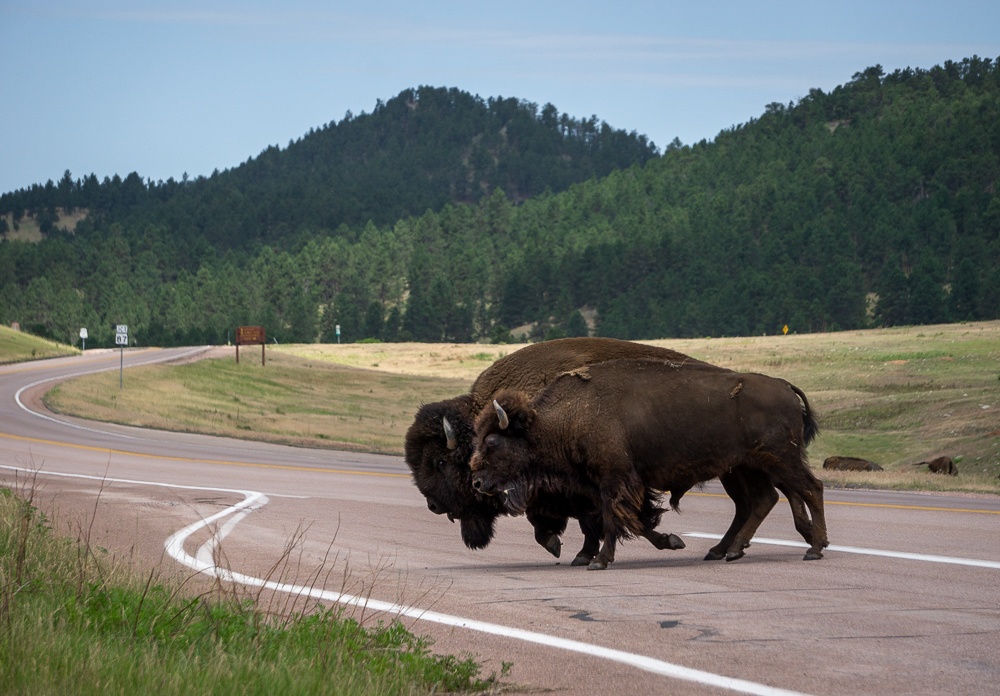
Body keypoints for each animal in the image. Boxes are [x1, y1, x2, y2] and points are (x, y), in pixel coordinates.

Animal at [402, 338, 816, 564]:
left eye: (440, 460)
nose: (433, 505)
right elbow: (598, 520)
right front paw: (577, 552)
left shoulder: (591, 486)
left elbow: (606, 519)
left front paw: (576, 550)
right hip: (739, 469)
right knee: (758, 500)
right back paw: (727, 549)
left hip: (749, 466)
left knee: (770, 497)